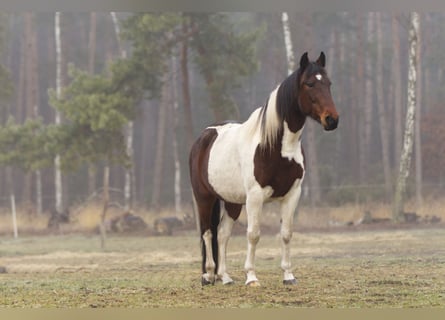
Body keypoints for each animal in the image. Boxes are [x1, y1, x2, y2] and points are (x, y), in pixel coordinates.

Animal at [187, 52, 336, 288]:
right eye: (310, 83)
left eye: (328, 84)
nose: (332, 119)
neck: (277, 146)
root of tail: (204, 137)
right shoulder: (255, 197)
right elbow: (253, 234)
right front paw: (251, 277)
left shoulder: (292, 194)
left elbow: (286, 233)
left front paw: (288, 275)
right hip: (204, 197)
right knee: (207, 233)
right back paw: (208, 275)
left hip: (232, 202)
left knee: (222, 234)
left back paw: (225, 277)